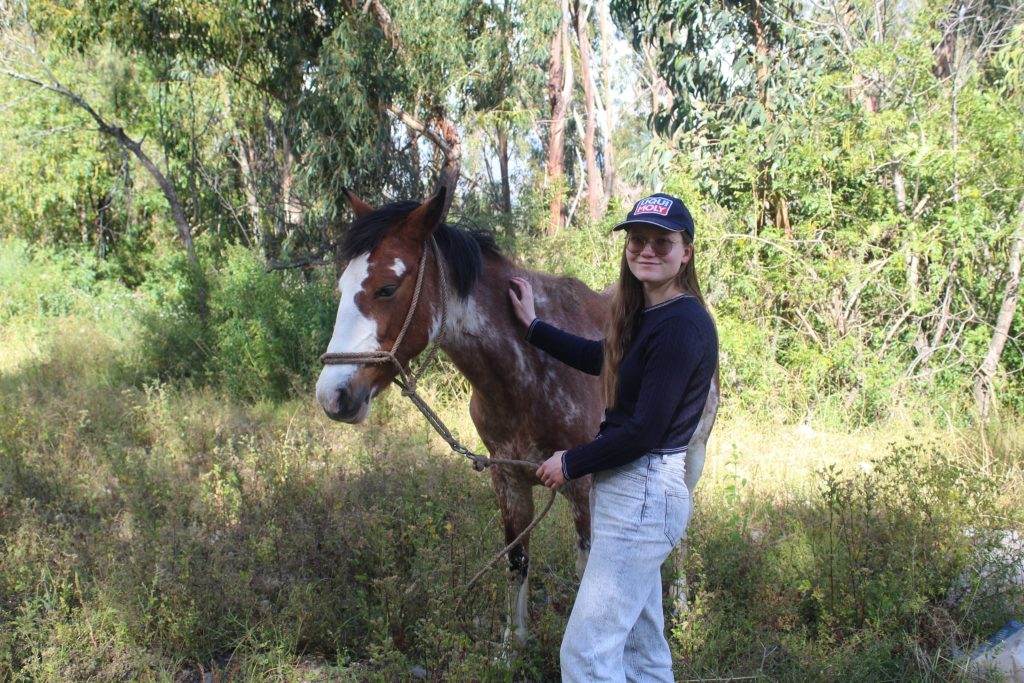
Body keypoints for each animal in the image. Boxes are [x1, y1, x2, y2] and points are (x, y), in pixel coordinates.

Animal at [315, 188, 719, 643]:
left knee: (678, 531)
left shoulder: (582, 488)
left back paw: (680, 607)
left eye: (386, 288)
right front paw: (514, 643)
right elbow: (516, 560)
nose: (333, 395)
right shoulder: (508, 478)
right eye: (342, 285)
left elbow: (590, 574)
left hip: (691, 458)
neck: (527, 371)